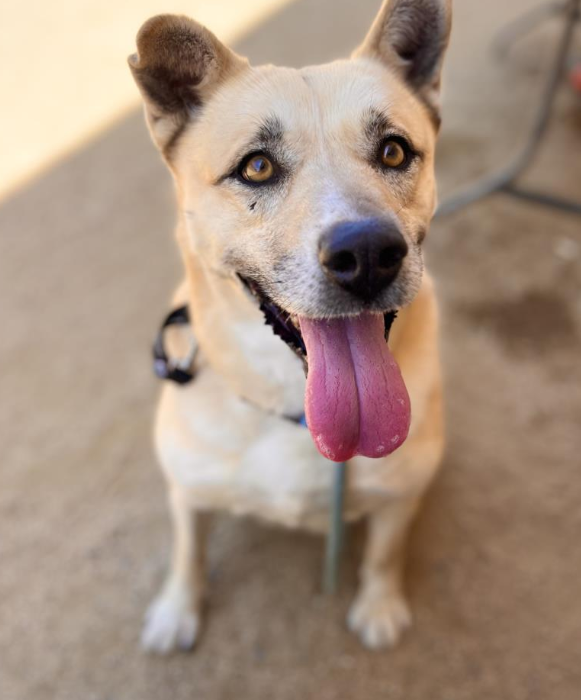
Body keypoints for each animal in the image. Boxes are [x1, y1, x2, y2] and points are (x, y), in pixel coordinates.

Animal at [129, 0, 450, 652]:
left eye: (394, 152)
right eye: (256, 167)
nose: (368, 254)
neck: (295, 411)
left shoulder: (401, 495)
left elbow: (385, 552)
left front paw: (379, 606)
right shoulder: (186, 487)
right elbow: (186, 548)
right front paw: (177, 609)